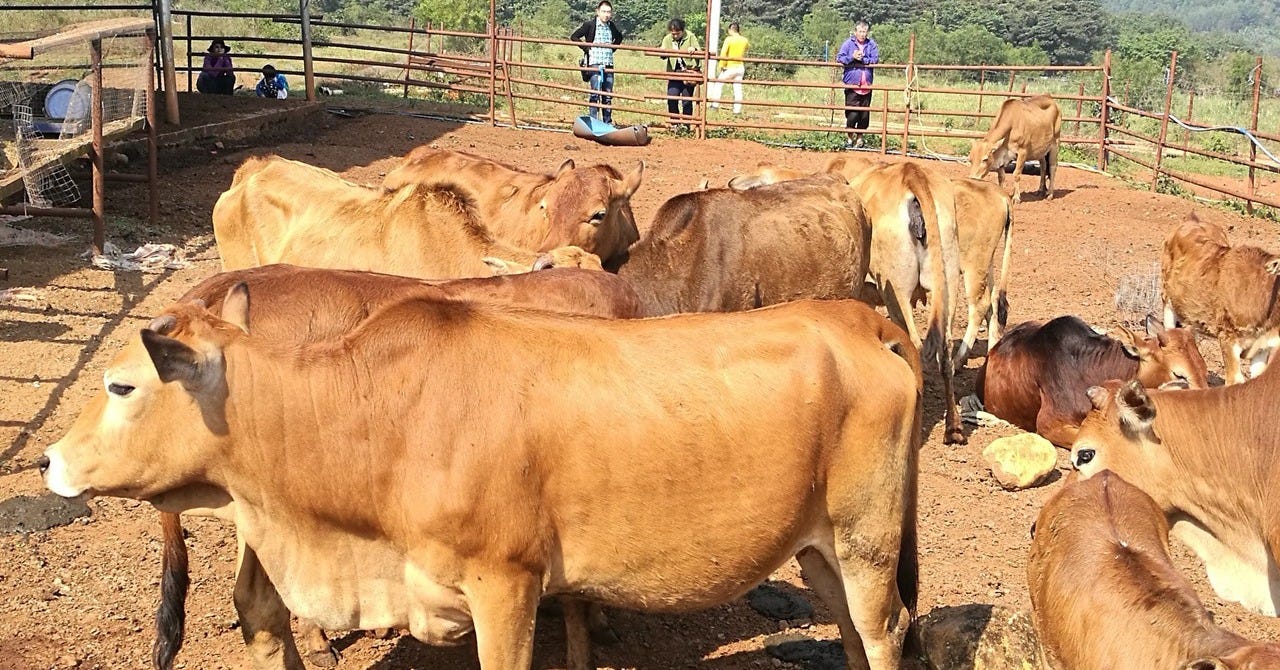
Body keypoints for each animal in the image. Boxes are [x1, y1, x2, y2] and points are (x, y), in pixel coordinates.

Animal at [42, 289, 923, 670]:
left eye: (121, 386)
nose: (48, 460)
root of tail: (859, 316)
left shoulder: (508, 584)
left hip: (869, 539)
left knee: (883, 632)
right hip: (820, 546)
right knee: (851, 633)